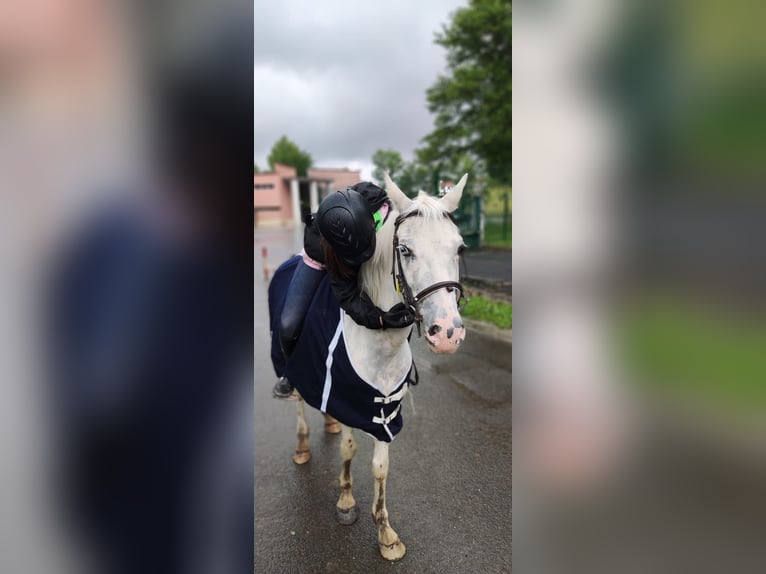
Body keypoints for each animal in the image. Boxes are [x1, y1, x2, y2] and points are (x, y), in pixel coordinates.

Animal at [288, 174, 468, 564]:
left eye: (460, 249)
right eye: (406, 250)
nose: (448, 333)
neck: (380, 343)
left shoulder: (384, 410)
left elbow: (381, 468)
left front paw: (385, 533)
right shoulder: (347, 398)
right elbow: (348, 450)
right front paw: (345, 501)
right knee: (298, 401)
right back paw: (302, 445)